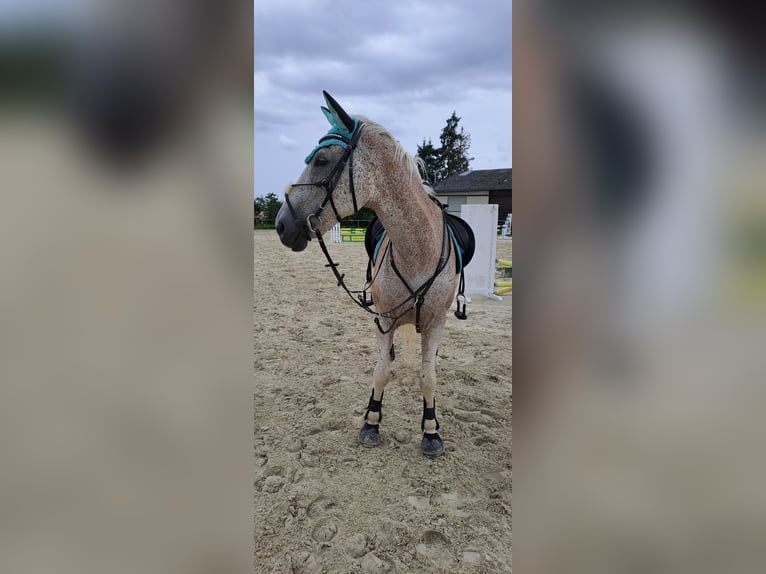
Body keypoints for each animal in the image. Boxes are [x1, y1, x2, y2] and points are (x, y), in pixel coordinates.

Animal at [272, 91, 472, 460]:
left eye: (321, 160)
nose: (281, 225)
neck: (416, 251)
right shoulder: (385, 319)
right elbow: (381, 373)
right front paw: (371, 422)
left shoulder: (435, 322)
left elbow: (428, 377)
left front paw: (431, 430)